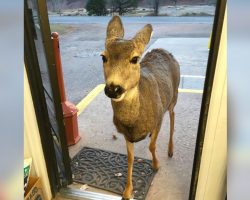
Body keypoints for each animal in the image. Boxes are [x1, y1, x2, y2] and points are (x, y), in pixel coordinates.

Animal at [101, 16, 180, 199]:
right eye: (103, 57)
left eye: (135, 58)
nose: (113, 89)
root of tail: (163, 50)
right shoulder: (126, 134)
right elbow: (130, 158)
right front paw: (127, 191)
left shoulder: (158, 119)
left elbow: (152, 146)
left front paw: (156, 165)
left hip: (174, 96)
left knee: (173, 115)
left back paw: (170, 150)